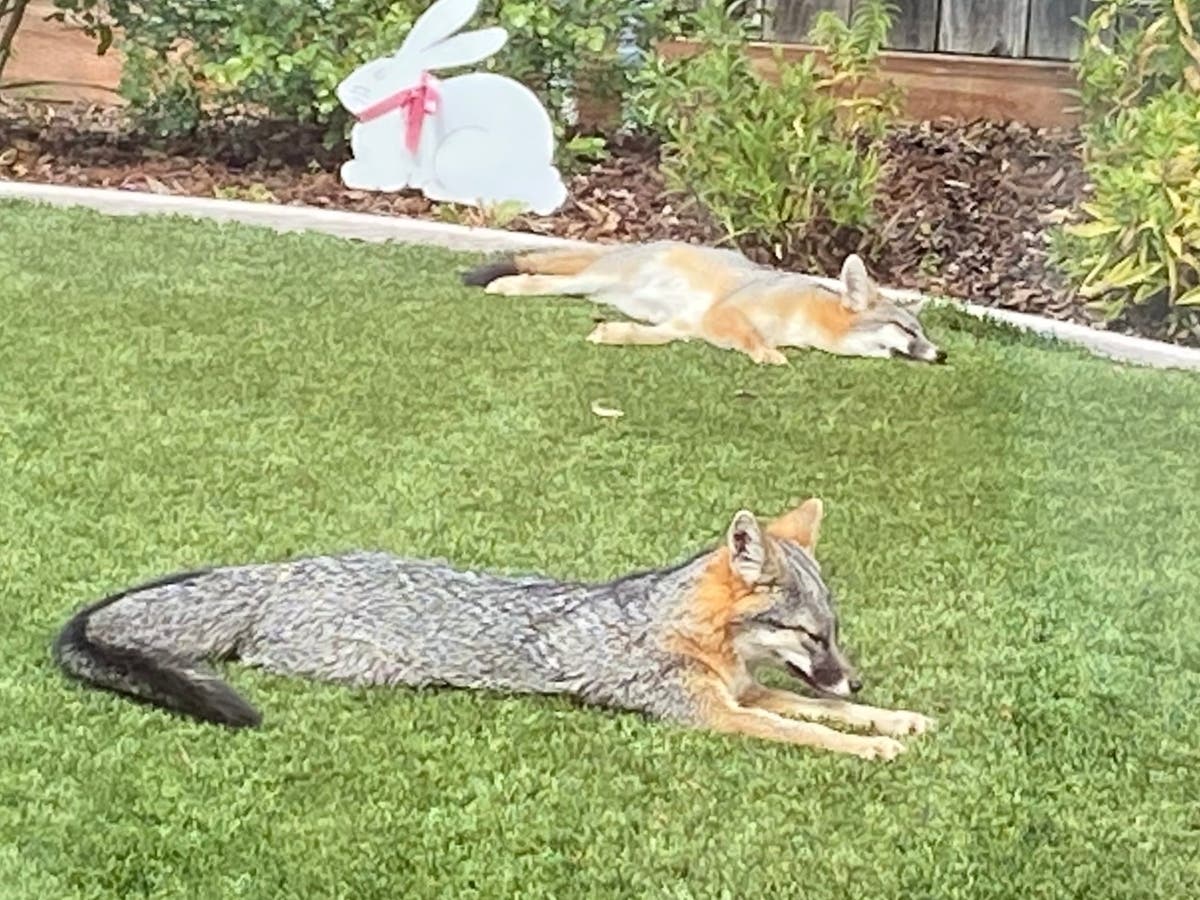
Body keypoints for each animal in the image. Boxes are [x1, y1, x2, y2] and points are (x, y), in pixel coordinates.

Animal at [52, 499, 934, 760]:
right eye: (812, 637)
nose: (855, 672)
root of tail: (281, 570)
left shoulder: (749, 693)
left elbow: (819, 711)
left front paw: (896, 719)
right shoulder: (714, 715)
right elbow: (812, 733)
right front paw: (873, 749)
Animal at [461, 239, 945, 366]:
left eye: (923, 332)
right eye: (907, 330)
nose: (942, 354)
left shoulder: (692, 325)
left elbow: (657, 338)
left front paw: (616, 333)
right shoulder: (723, 313)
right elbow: (750, 336)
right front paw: (767, 354)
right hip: (591, 278)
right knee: (542, 280)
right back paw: (509, 285)